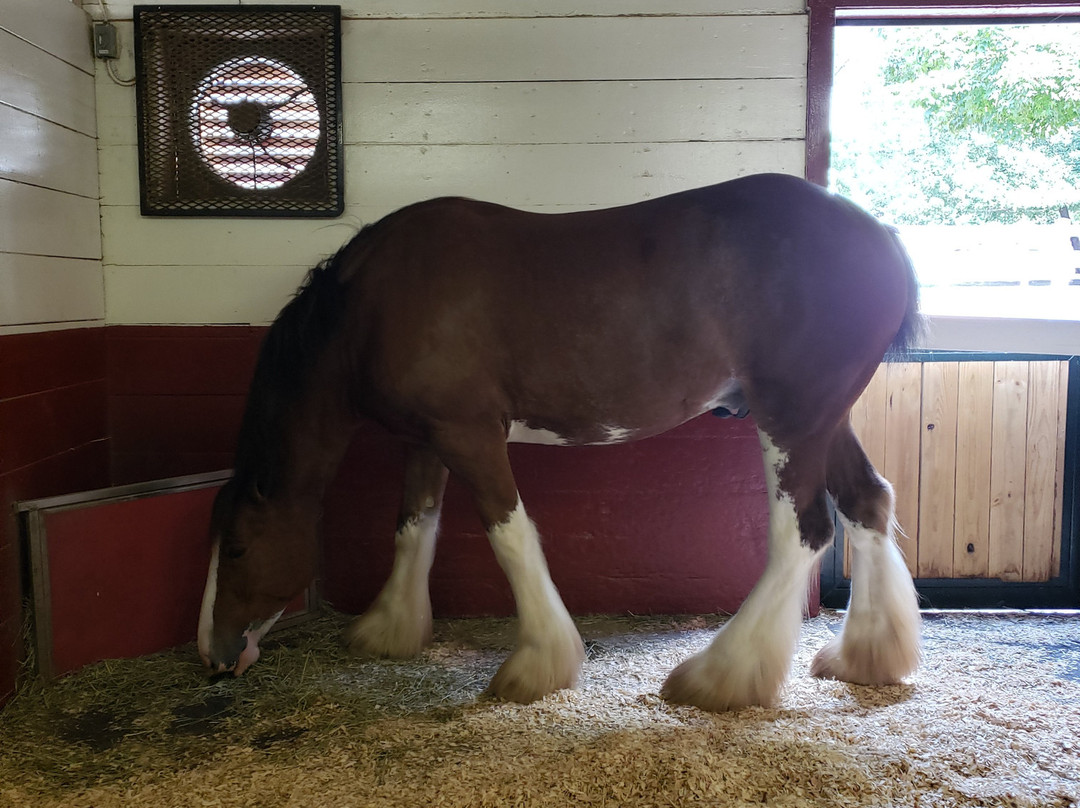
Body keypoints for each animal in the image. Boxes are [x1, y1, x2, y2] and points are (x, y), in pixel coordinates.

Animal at [196, 173, 920, 708]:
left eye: (237, 546)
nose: (211, 655)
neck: (373, 305)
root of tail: (881, 236)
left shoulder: (469, 435)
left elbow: (510, 536)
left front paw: (538, 665)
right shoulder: (427, 441)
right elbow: (412, 527)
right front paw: (389, 629)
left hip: (789, 417)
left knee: (804, 530)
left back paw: (721, 676)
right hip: (824, 418)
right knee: (868, 503)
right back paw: (866, 658)